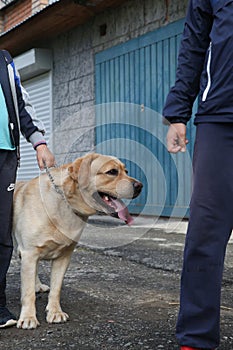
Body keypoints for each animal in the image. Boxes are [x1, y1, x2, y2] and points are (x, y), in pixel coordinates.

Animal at [13, 152, 143, 328]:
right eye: (112, 172)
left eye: (126, 171)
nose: (140, 186)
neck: (66, 202)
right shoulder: (30, 252)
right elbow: (27, 293)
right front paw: (28, 317)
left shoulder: (63, 256)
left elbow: (56, 288)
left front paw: (55, 312)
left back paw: (37, 285)